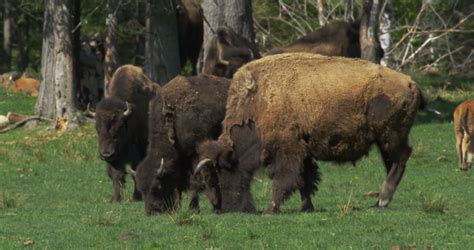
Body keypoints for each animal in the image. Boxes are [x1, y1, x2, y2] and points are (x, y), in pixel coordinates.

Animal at [95, 64, 160, 201]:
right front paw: (115, 199)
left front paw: (137, 197)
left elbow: (135, 171)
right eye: (97, 128)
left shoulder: (138, 149)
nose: (106, 154)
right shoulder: (115, 158)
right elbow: (116, 175)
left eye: (119, 127)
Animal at [134, 73, 231, 215]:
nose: (152, 211)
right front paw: (178, 207)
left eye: (157, 186)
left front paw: (194, 208)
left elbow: (194, 181)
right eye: (141, 189)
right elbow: (179, 183)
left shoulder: (194, 155)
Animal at [195, 52, 426, 213]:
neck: (259, 101)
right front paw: (306, 206)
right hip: (384, 140)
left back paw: (383, 200)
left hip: (391, 135)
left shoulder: (288, 151)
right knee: (392, 162)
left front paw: (271, 209)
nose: (223, 208)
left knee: (401, 158)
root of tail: (411, 83)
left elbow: (283, 179)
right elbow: (304, 180)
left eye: (219, 174)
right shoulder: (303, 152)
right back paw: (378, 202)